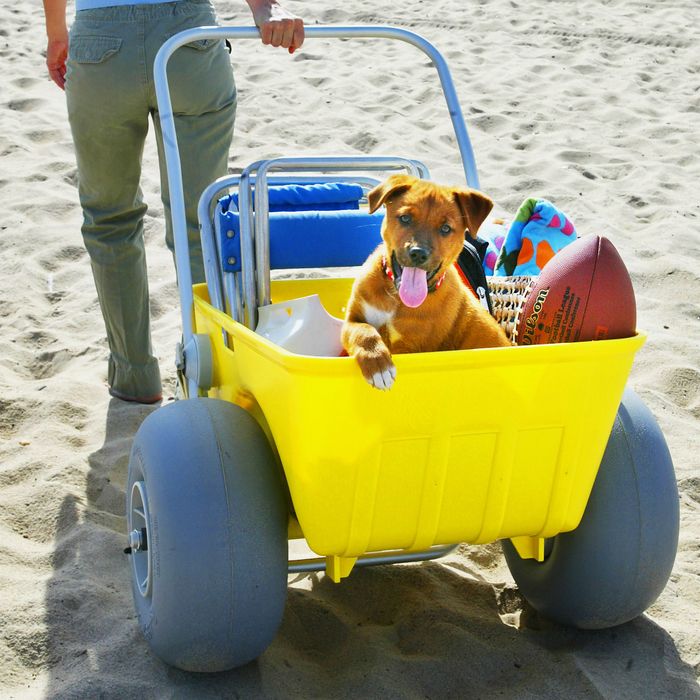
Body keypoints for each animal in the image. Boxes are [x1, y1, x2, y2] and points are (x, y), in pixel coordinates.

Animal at [344, 173, 508, 392]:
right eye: (405, 218)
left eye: (445, 228)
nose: (418, 253)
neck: (395, 299)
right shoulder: (351, 319)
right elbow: (364, 331)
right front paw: (378, 364)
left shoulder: (412, 347)